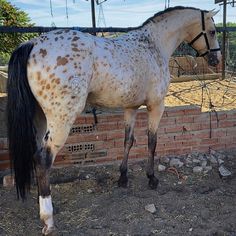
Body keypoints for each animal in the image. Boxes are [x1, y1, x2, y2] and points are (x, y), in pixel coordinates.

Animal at [7, 6, 221, 235]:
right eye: (213, 31)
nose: (216, 59)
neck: (154, 45)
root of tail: (32, 44)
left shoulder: (131, 108)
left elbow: (128, 141)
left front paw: (123, 178)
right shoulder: (156, 106)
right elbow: (152, 142)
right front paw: (152, 178)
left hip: (40, 119)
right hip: (61, 119)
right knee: (43, 159)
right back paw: (48, 218)